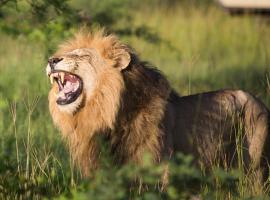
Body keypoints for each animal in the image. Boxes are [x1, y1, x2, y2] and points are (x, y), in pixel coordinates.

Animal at [46, 28, 270, 184]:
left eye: (83, 56)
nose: (51, 59)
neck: (107, 113)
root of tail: (262, 104)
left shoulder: (156, 168)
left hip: (255, 165)